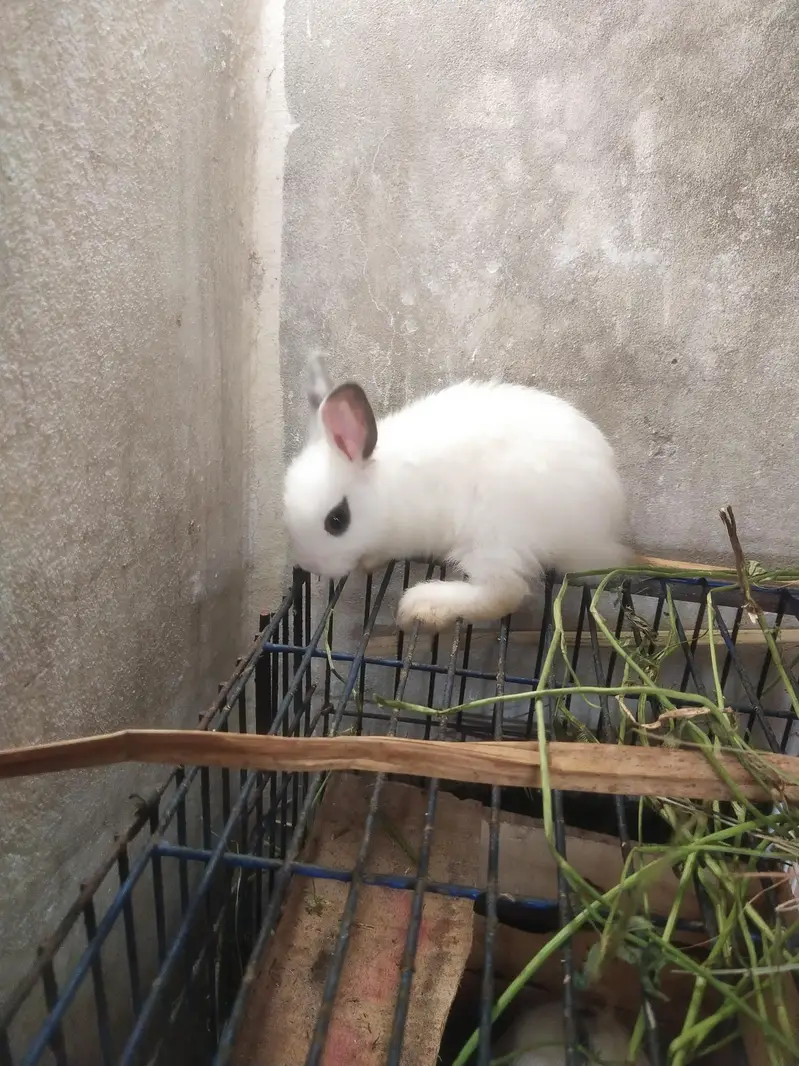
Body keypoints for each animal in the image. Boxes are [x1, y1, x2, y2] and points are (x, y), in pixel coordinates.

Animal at [283, 354, 630, 632]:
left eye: (337, 520)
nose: (310, 566)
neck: (387, 491)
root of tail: (602, 533)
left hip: (495, 533)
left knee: (504, 592)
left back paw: (422, 606)